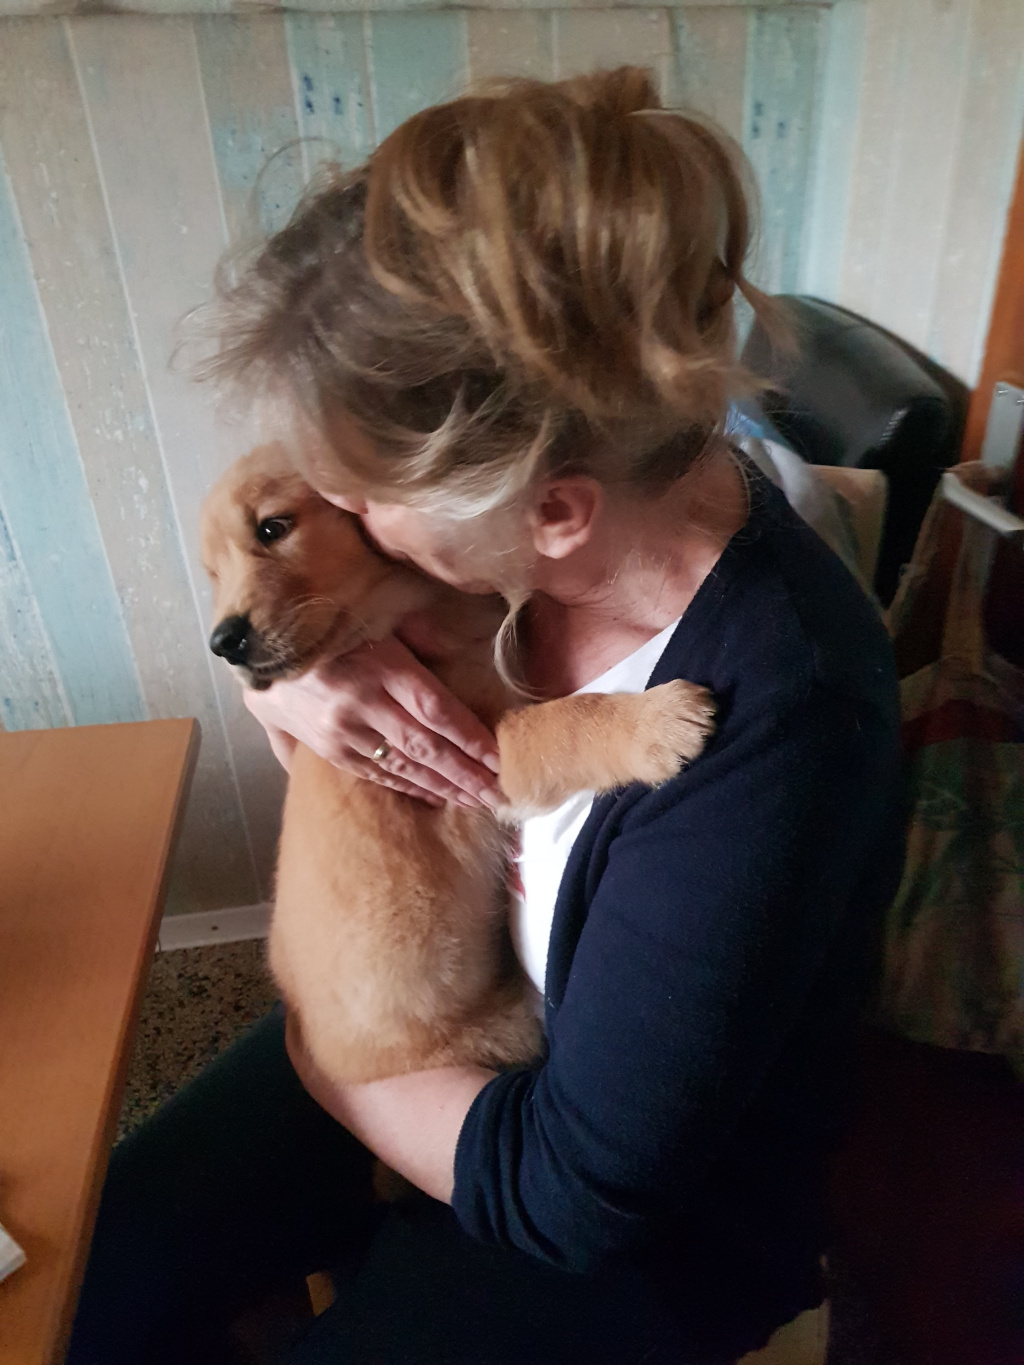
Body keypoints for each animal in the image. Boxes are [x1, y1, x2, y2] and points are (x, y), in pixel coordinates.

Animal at [201, 444, 715, 1087]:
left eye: (272, 528)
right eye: (212, 573)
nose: (223, 643)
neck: (399, 616)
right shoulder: (482, 753)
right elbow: (565, 721)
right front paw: (659, 722)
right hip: (501, 1027)